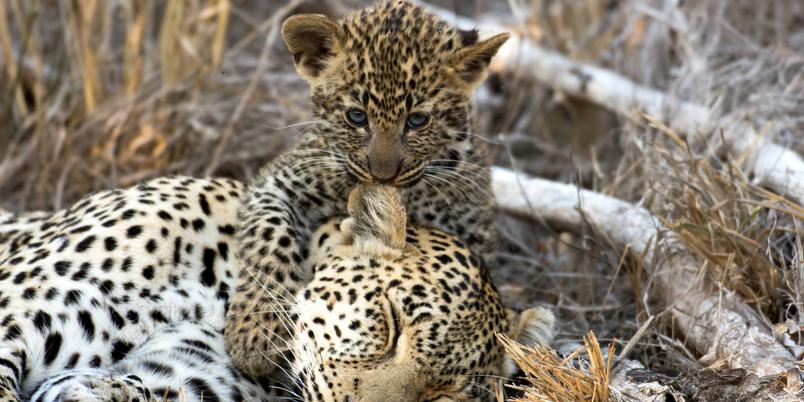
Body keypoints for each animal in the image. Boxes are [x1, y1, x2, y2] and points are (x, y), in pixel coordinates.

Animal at [226, 0, 513, 380]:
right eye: (356, 117)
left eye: (417, 120)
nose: (383, 175)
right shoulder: (280, 183)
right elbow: (269, 238)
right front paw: (254, 333)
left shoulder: (472, 231)